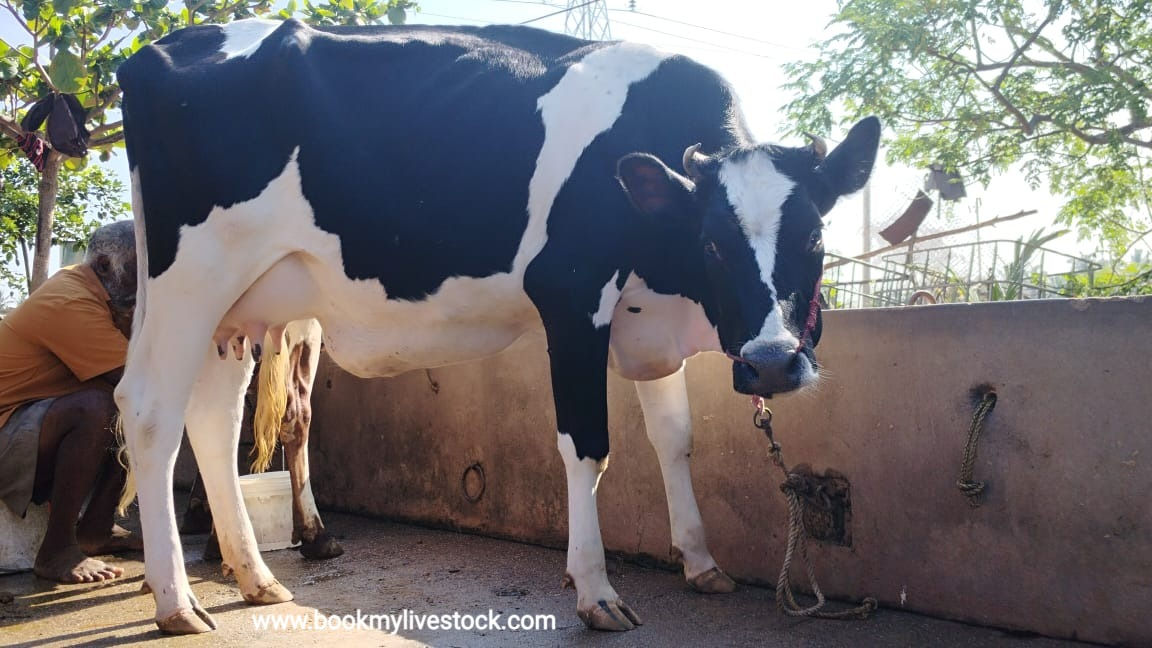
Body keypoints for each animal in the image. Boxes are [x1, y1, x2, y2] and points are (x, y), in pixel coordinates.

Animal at [114, 19, 879, 634]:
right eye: (713, 243)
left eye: (815, 236)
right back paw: (177, 603)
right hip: (191, 277)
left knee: (211, 419)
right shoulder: (571, 294)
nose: (773, 362)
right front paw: (595, 591)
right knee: (150, 411)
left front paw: (700, 561)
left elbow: (675, 440)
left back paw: (256, 578)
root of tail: (165, 46)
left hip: (239, 304)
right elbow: (587, 448)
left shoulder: (651, 326)